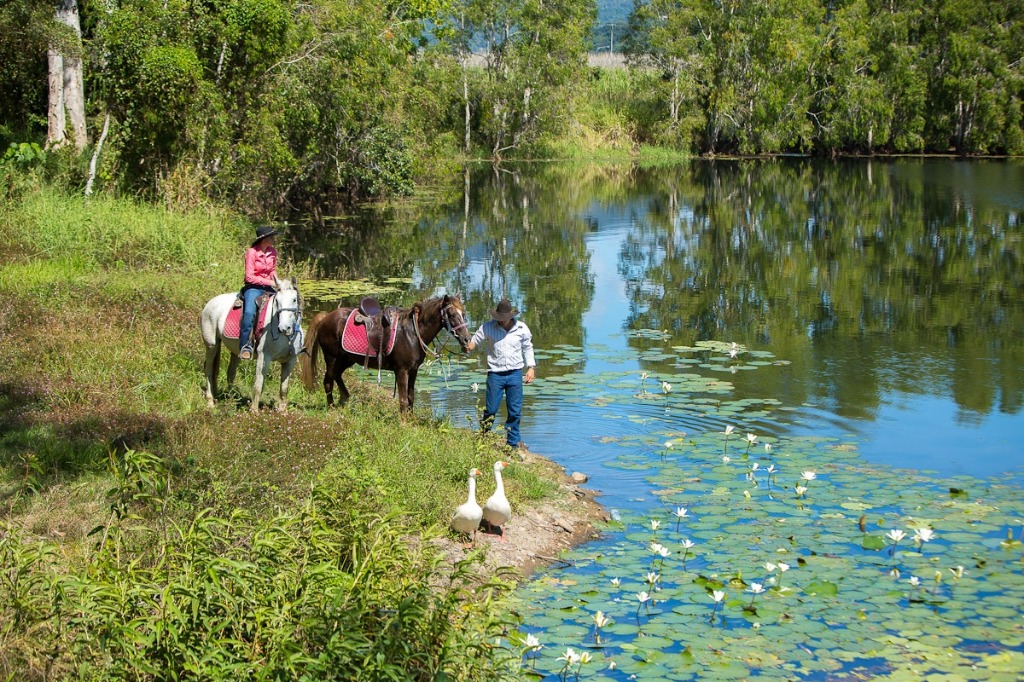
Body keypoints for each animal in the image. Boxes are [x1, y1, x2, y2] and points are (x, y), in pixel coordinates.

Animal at [200, 277, 303, 413]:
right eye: (277, 301)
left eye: (294, 299)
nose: (284, 327)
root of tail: (210, 302)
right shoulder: (264, 356)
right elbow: (258, 385)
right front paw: (254, 411)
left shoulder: (290, 360)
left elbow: (284, 389)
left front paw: (282, 411)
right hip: (211, 345)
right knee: (209, 369)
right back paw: (210, 401)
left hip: (234, 351)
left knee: (230, 373)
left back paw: (231, 399)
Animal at [300, 293, 471, 413]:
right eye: (451, 314)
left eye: (463, 314)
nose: (467, 339)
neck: (412, 333)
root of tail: (325, 317)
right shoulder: (401, 370)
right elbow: (403, 399)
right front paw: (404, 424)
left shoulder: (413, 370)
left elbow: (411, 398)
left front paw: (412, 422)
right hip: (332, 358)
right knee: (328, 382)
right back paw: (332, 408)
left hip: (347, 359)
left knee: (337, 376)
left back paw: (344, 399)